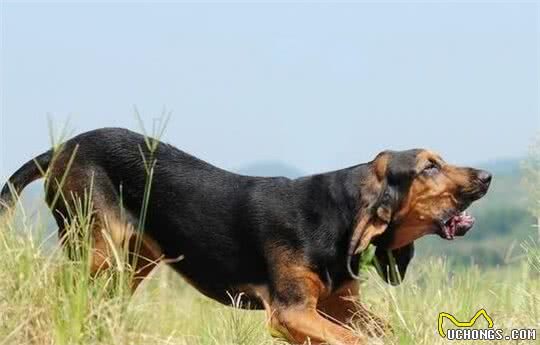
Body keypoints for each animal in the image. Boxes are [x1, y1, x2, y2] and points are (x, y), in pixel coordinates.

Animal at [0, 127, 492, 342]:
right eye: (429, 167)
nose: (486, 177)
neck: (339, 215)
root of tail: (60, 148)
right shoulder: (292, 312)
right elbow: (355, 341)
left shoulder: (340, 306)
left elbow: (391, 331)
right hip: (98, 251)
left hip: (133, 262)